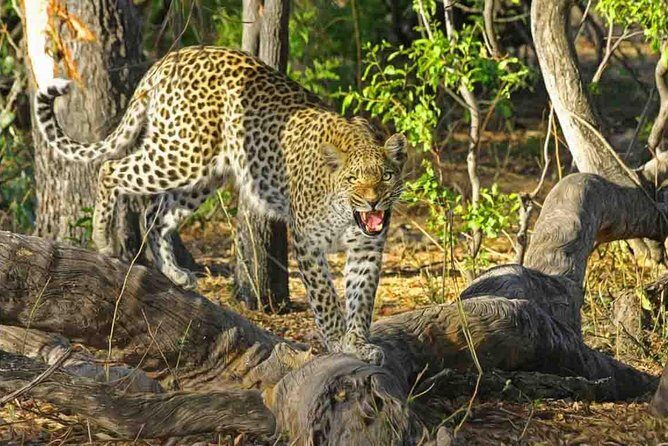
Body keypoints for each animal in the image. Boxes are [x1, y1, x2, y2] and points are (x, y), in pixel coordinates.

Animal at [35, 45, 407, 364]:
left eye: (387, 176)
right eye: (353, 179)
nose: (373, 201)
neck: (347, 214)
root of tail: (170, 58)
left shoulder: (367, 248)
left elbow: (361, 299)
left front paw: (358, 344)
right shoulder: (307, 242)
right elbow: (326, 299)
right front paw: (338, 342)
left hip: (204, 175)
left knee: (156, 214)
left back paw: (175, 273)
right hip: (182, 154)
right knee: (111, 169)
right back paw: (104, 239)